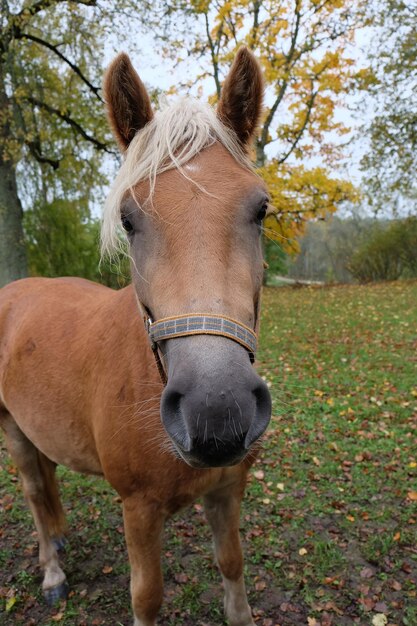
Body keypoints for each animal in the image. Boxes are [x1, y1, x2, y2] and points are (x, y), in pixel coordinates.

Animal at [0, 46, 272, 620]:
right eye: (127, 220)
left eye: (261, 208)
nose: (217, 411)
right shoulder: (139, 509)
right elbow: (147, 597)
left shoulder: (227, 488)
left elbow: (232, 565)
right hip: (11, 429)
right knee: (34, 492)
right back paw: (52, 571)